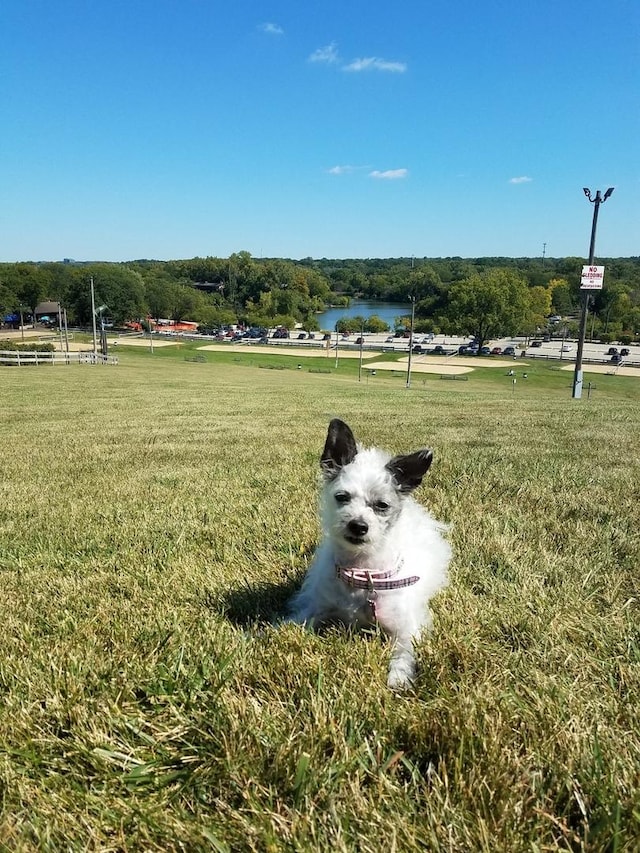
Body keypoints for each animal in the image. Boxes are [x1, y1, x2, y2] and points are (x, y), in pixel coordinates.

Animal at [290, 416, 450, 688]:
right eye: (341, 497)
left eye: (382, 506)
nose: (358, 525)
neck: (362, 572)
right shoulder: (315, 609)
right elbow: (288, 625)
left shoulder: (407, 629)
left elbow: (404, 652)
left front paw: (399, 677)